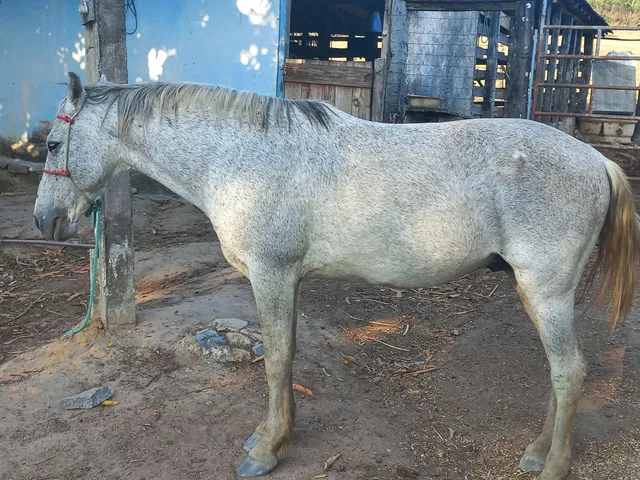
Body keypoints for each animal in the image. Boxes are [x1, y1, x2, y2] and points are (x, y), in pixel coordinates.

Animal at [33, 72, 640, 479]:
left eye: (53, 143)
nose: (45, 221)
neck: (242, 159)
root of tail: (595, 159)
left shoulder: (271, 275)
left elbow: (276, 360)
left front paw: (266, 452)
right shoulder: (289, 280)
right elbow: (287, 355)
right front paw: (274, 434)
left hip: (546, 291)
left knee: (570, 371)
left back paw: (554, 463)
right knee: (561, 373)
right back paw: (538, 450)